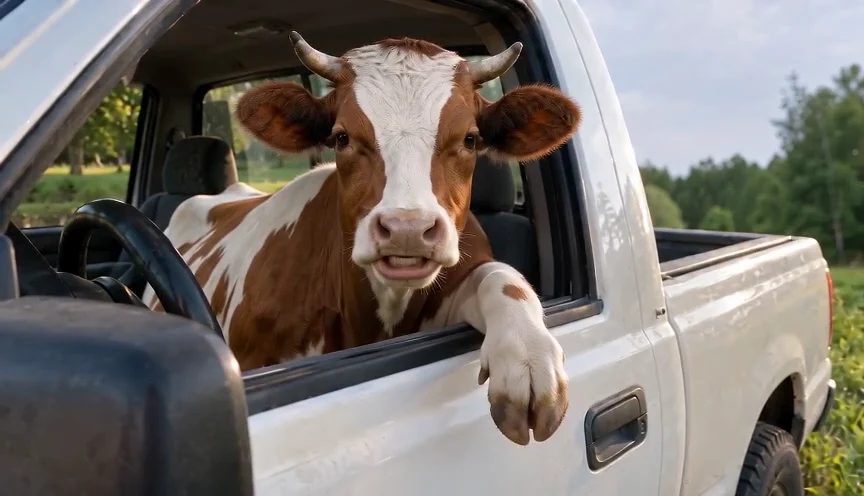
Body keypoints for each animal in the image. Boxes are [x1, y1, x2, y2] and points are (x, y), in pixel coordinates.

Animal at [143, 32, 583, 446]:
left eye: (470, 139)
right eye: (341, 137)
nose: (407, 229)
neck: (375, 317)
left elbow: (501, 277)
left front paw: (528, 359)